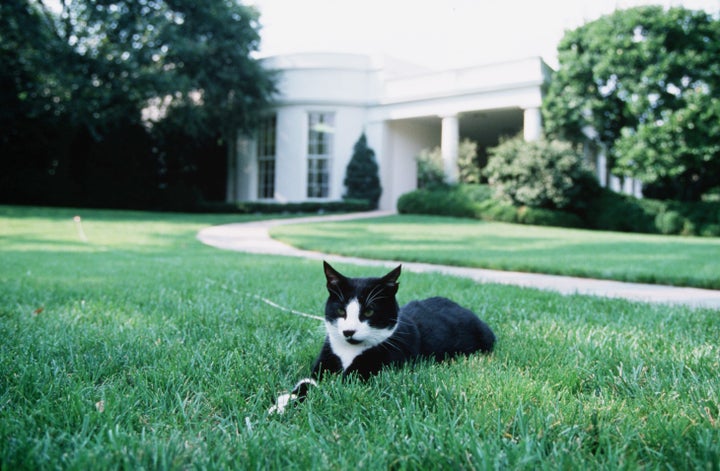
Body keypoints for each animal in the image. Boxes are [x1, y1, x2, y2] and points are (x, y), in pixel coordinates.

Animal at [270, 262, 496, 412]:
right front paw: (284, 400)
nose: (348, 331)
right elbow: (310, 380)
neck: (348, 350)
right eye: (341, 310)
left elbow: (332, 386)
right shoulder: (327, 356)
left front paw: (289, 404)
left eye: (369, 311)